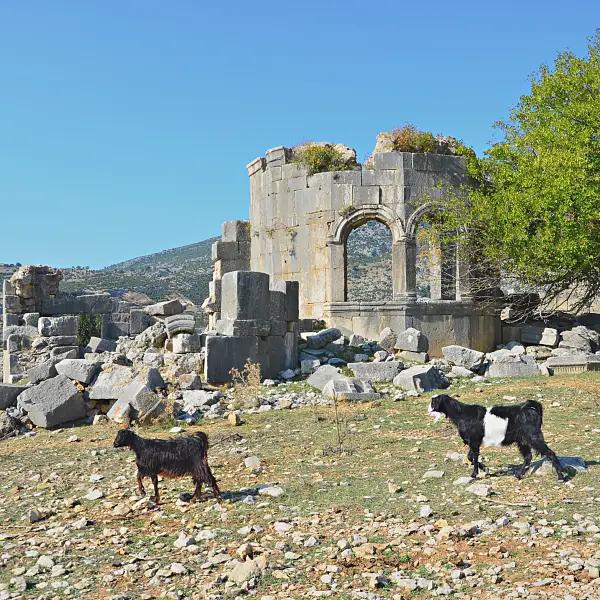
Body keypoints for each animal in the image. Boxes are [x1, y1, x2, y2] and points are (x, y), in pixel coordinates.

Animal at [428, 394, 564, 482]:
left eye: (433, 401)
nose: (428, 409)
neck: (462, 414)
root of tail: (531, 409)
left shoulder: (474, 441)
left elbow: (474, 457)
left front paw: (474, 474)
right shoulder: (473, 441)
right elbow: (470, 457)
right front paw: (486, 469)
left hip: (533, 437)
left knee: (550, 453)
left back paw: (561, 477)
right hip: (522, 440)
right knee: (528, 457)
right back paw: (519, 475)